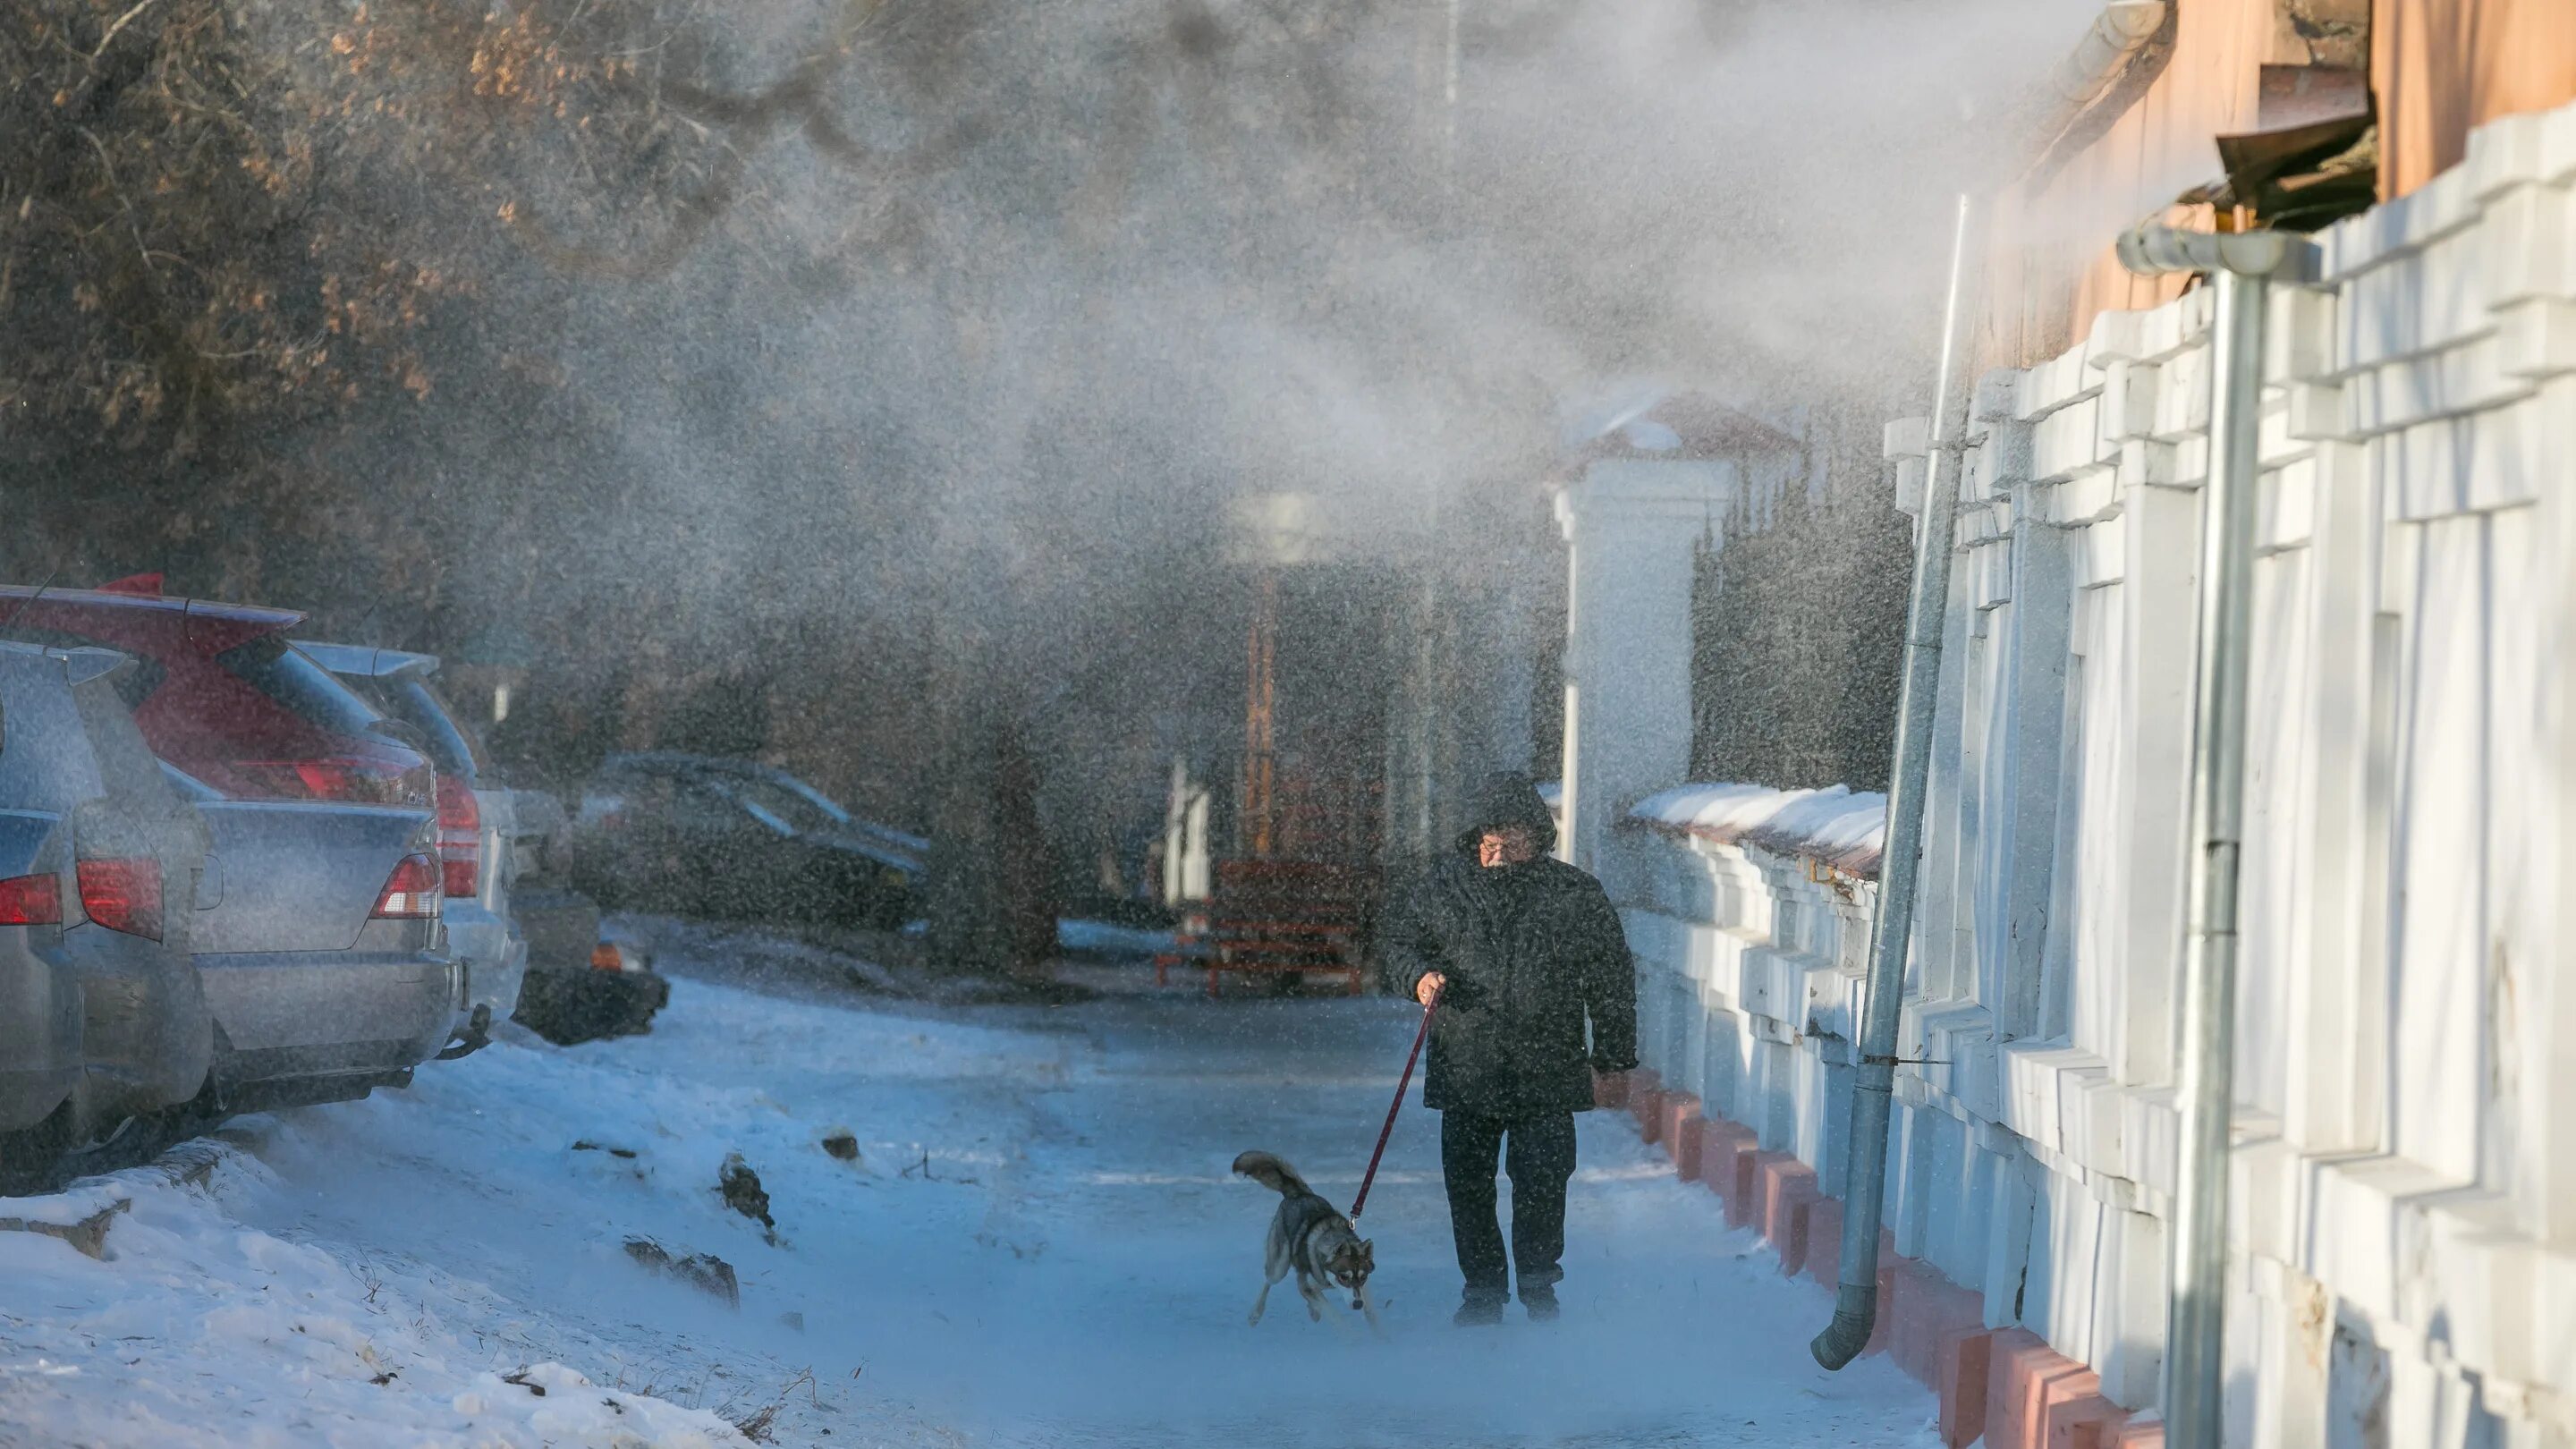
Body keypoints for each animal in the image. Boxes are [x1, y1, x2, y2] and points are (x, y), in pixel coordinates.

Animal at [1236, 1144, 1380, 1330]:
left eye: (1363, 1277)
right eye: (1343, 1277)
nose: (1357, 1305)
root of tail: (1298, 1192)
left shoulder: (1362, 1289)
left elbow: (1372, 1315)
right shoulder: (1305, 1285)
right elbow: (1336, 1317)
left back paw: (1313, 1311)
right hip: (1279, 1267)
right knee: (1268, 1280)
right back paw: (1255, 1314)